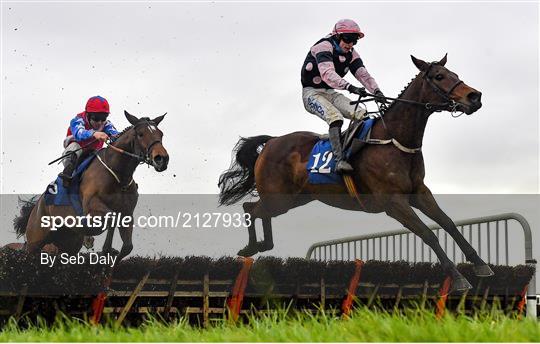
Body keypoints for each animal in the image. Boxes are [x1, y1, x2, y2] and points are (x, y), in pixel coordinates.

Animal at [14, 111, 169, 262]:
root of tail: (36, 206)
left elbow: (127, 247)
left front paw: (108, 254)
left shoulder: (127, 214)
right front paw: (104, 249)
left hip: (68, 244)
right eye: (141, 134)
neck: (119, 177)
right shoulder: (91, 208)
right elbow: (112, 217)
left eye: (161, 134)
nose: (161, 159)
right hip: (35, 242)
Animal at [219, 55, 494, 292]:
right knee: (250, 208)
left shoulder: (419, 191)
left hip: (294, 198)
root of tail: (272, 141)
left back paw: (262, 245)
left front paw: (480, 264)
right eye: (439, 76)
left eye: (454, 74)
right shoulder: (393, 202)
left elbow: (448, 223)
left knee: (258, 211)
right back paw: (251, 247)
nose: (475, 96)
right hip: (279, 197)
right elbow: (428, 233)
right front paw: (458, 278)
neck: (394, 139)